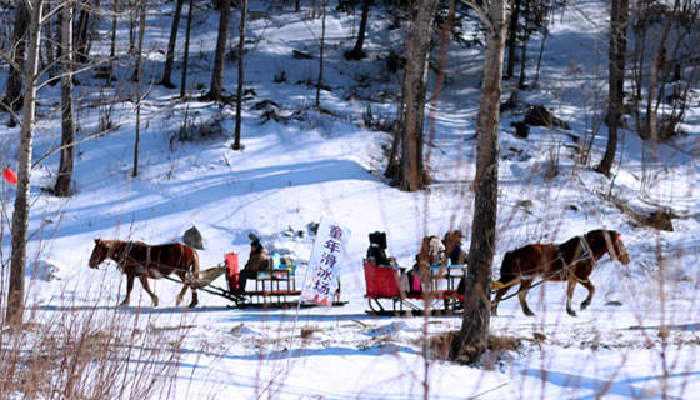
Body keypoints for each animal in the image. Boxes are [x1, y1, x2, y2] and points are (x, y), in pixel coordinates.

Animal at [490, 230, 632, 318]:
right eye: (620, 243)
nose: (627, 258)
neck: (585, 251)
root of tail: (514, 252)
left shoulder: (573, 279)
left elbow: (570, 293)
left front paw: (570, 310)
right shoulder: (581, 277)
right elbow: (592, 288)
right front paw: (584, 303)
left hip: (523, 279)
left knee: (518, 293)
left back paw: (525, 311)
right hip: (520, 278)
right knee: (505, 293)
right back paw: (494, 310)